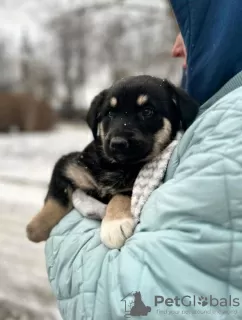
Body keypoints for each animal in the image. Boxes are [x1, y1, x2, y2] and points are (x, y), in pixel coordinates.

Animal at [26, 75, 199, 248]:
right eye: (110, 113)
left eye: (147, 111)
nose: (118, 143)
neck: (115, 166)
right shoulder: (68, 166)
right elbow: (56, 199)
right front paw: (35, 229)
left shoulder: (132, 187)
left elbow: (120, 196)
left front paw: (114, 225)